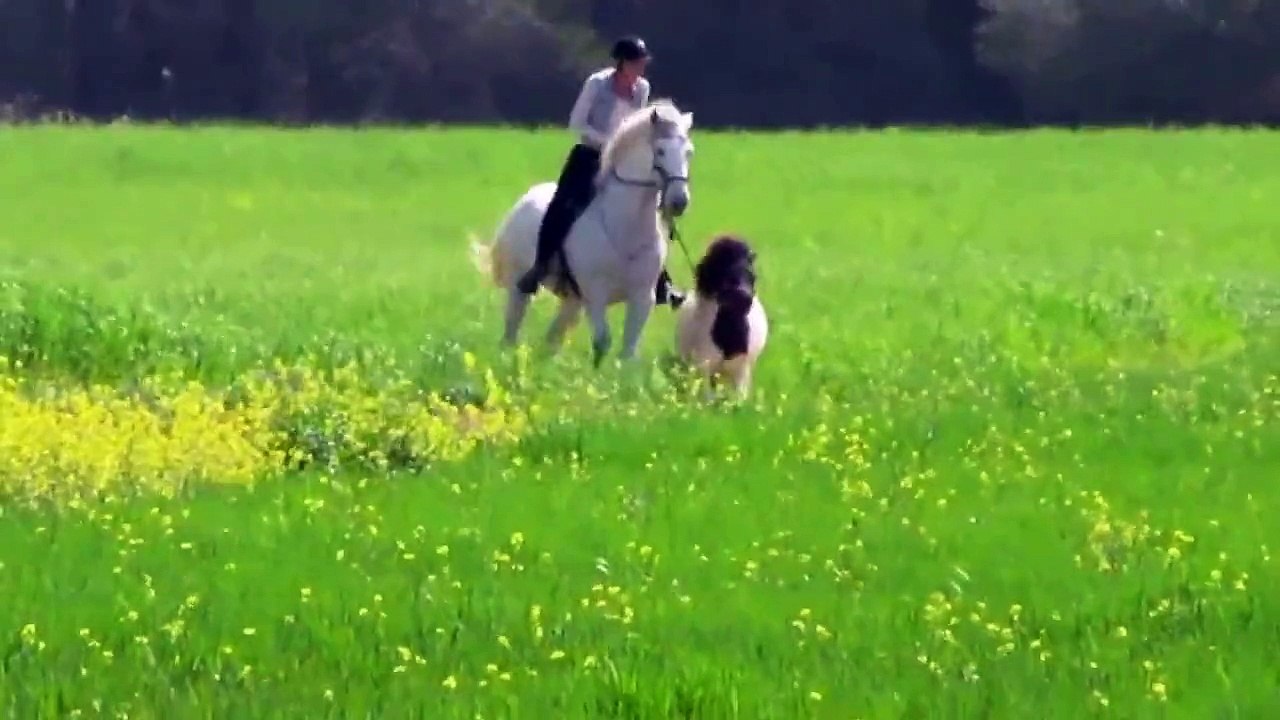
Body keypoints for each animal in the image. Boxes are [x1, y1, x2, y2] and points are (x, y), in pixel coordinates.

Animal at [674, 234, 769, 399]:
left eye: (750, 264)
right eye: (717, 262)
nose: (742, 297)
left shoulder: (741, 369)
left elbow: (738, 399)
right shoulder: (704, 365)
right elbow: (706, 398)